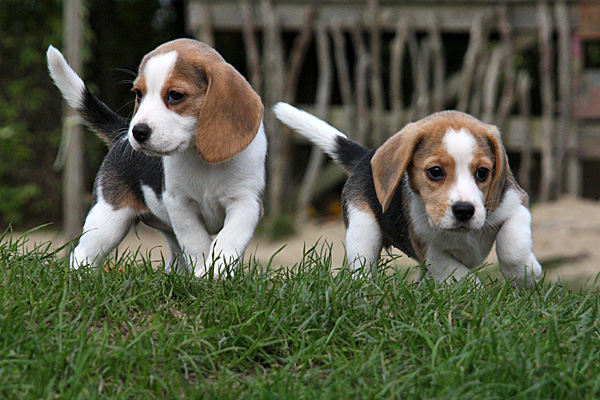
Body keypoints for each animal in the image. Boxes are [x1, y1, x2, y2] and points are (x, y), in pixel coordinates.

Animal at [49, 39, 268, 276]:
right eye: (138, 93)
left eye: (175, 95)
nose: (138, 132)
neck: (198, 157)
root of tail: (120, 137)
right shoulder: (179, 204)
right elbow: (196, 241)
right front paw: (203, 272)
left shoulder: (245, 203)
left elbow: (228, 240)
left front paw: (216, 273)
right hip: (108, 219)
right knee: (82, 254)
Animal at [276, 104, 544, 288]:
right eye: (435, 172)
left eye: (482, 173)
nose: (464, 211)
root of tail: (365, 158)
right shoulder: (430, 250)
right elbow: (458, 275)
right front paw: (474, 293)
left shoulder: (516, 203)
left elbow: (513, 246)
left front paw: (525, 275)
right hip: (363, 231)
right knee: (362, 267)